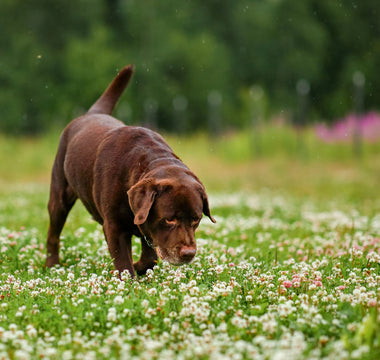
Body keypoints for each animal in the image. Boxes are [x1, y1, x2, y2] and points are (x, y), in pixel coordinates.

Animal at [46, 64, 215, 278]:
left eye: (196, 219)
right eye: (169, 219)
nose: (189, 253)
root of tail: (90, 114)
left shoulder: (146, 225)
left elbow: (150, 257)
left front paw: (139, 267)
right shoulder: (114, 226)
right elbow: (124, 262)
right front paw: (128, 278)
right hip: (59, 195)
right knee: (53, 232)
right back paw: (52, 264)